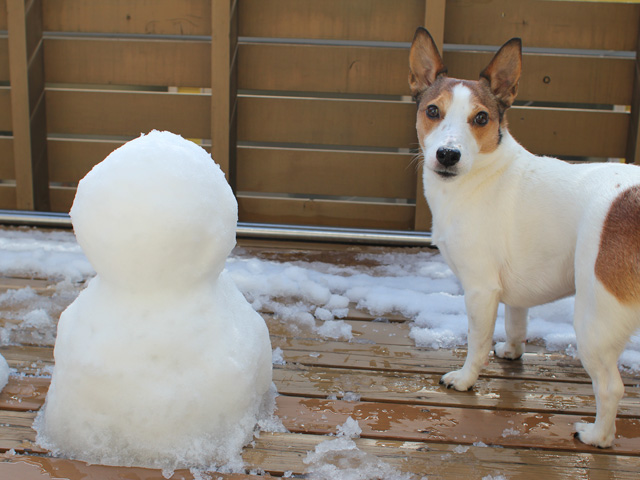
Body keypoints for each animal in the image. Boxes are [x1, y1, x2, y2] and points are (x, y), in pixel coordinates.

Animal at [410, 25, 640, 446]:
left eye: (481, 117)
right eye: (433, 111)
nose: (448, 155)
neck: (483, 172)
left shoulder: (481, 289)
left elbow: (477, 341)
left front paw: (466, 379)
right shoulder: (514, 290)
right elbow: (517, 323)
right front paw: (513, 351)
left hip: (594, 320)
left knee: (611, 387)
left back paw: (597, 435)